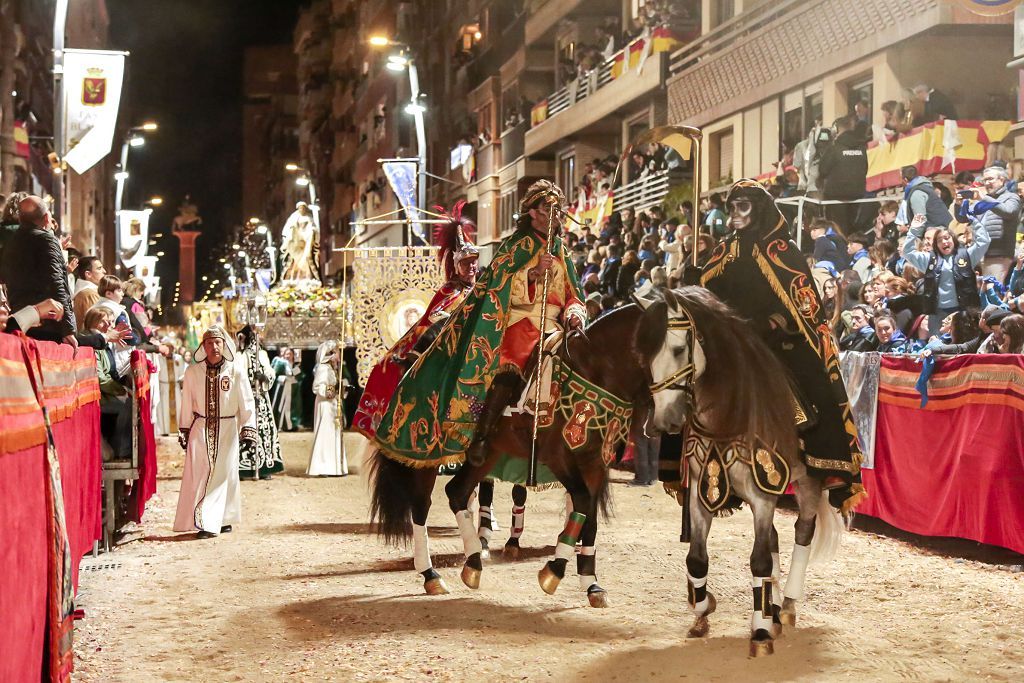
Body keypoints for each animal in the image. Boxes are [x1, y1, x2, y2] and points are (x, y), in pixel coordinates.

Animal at [368, 301, 651, 606]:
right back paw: (432, 574)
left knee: (457, 491)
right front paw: (553, 570)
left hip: (490, 452)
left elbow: (590, 516)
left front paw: (591, 584)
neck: (592, 370)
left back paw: (474, 561)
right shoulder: (559, 457)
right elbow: (583, 503)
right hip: (429, 453)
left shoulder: (594, 464)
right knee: (422, 505)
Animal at [634, 286, 843, 655]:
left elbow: (759, 560)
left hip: (807, 483)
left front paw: (760, 632)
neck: (730, 414)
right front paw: (703, 612)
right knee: (774, 538)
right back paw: (772, 606)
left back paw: (786, 606)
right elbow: (696, 559)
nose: (664, 421)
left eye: (677, 349)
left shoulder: (763, 495)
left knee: (803, 530)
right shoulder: (701, 493)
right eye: (645, 358)